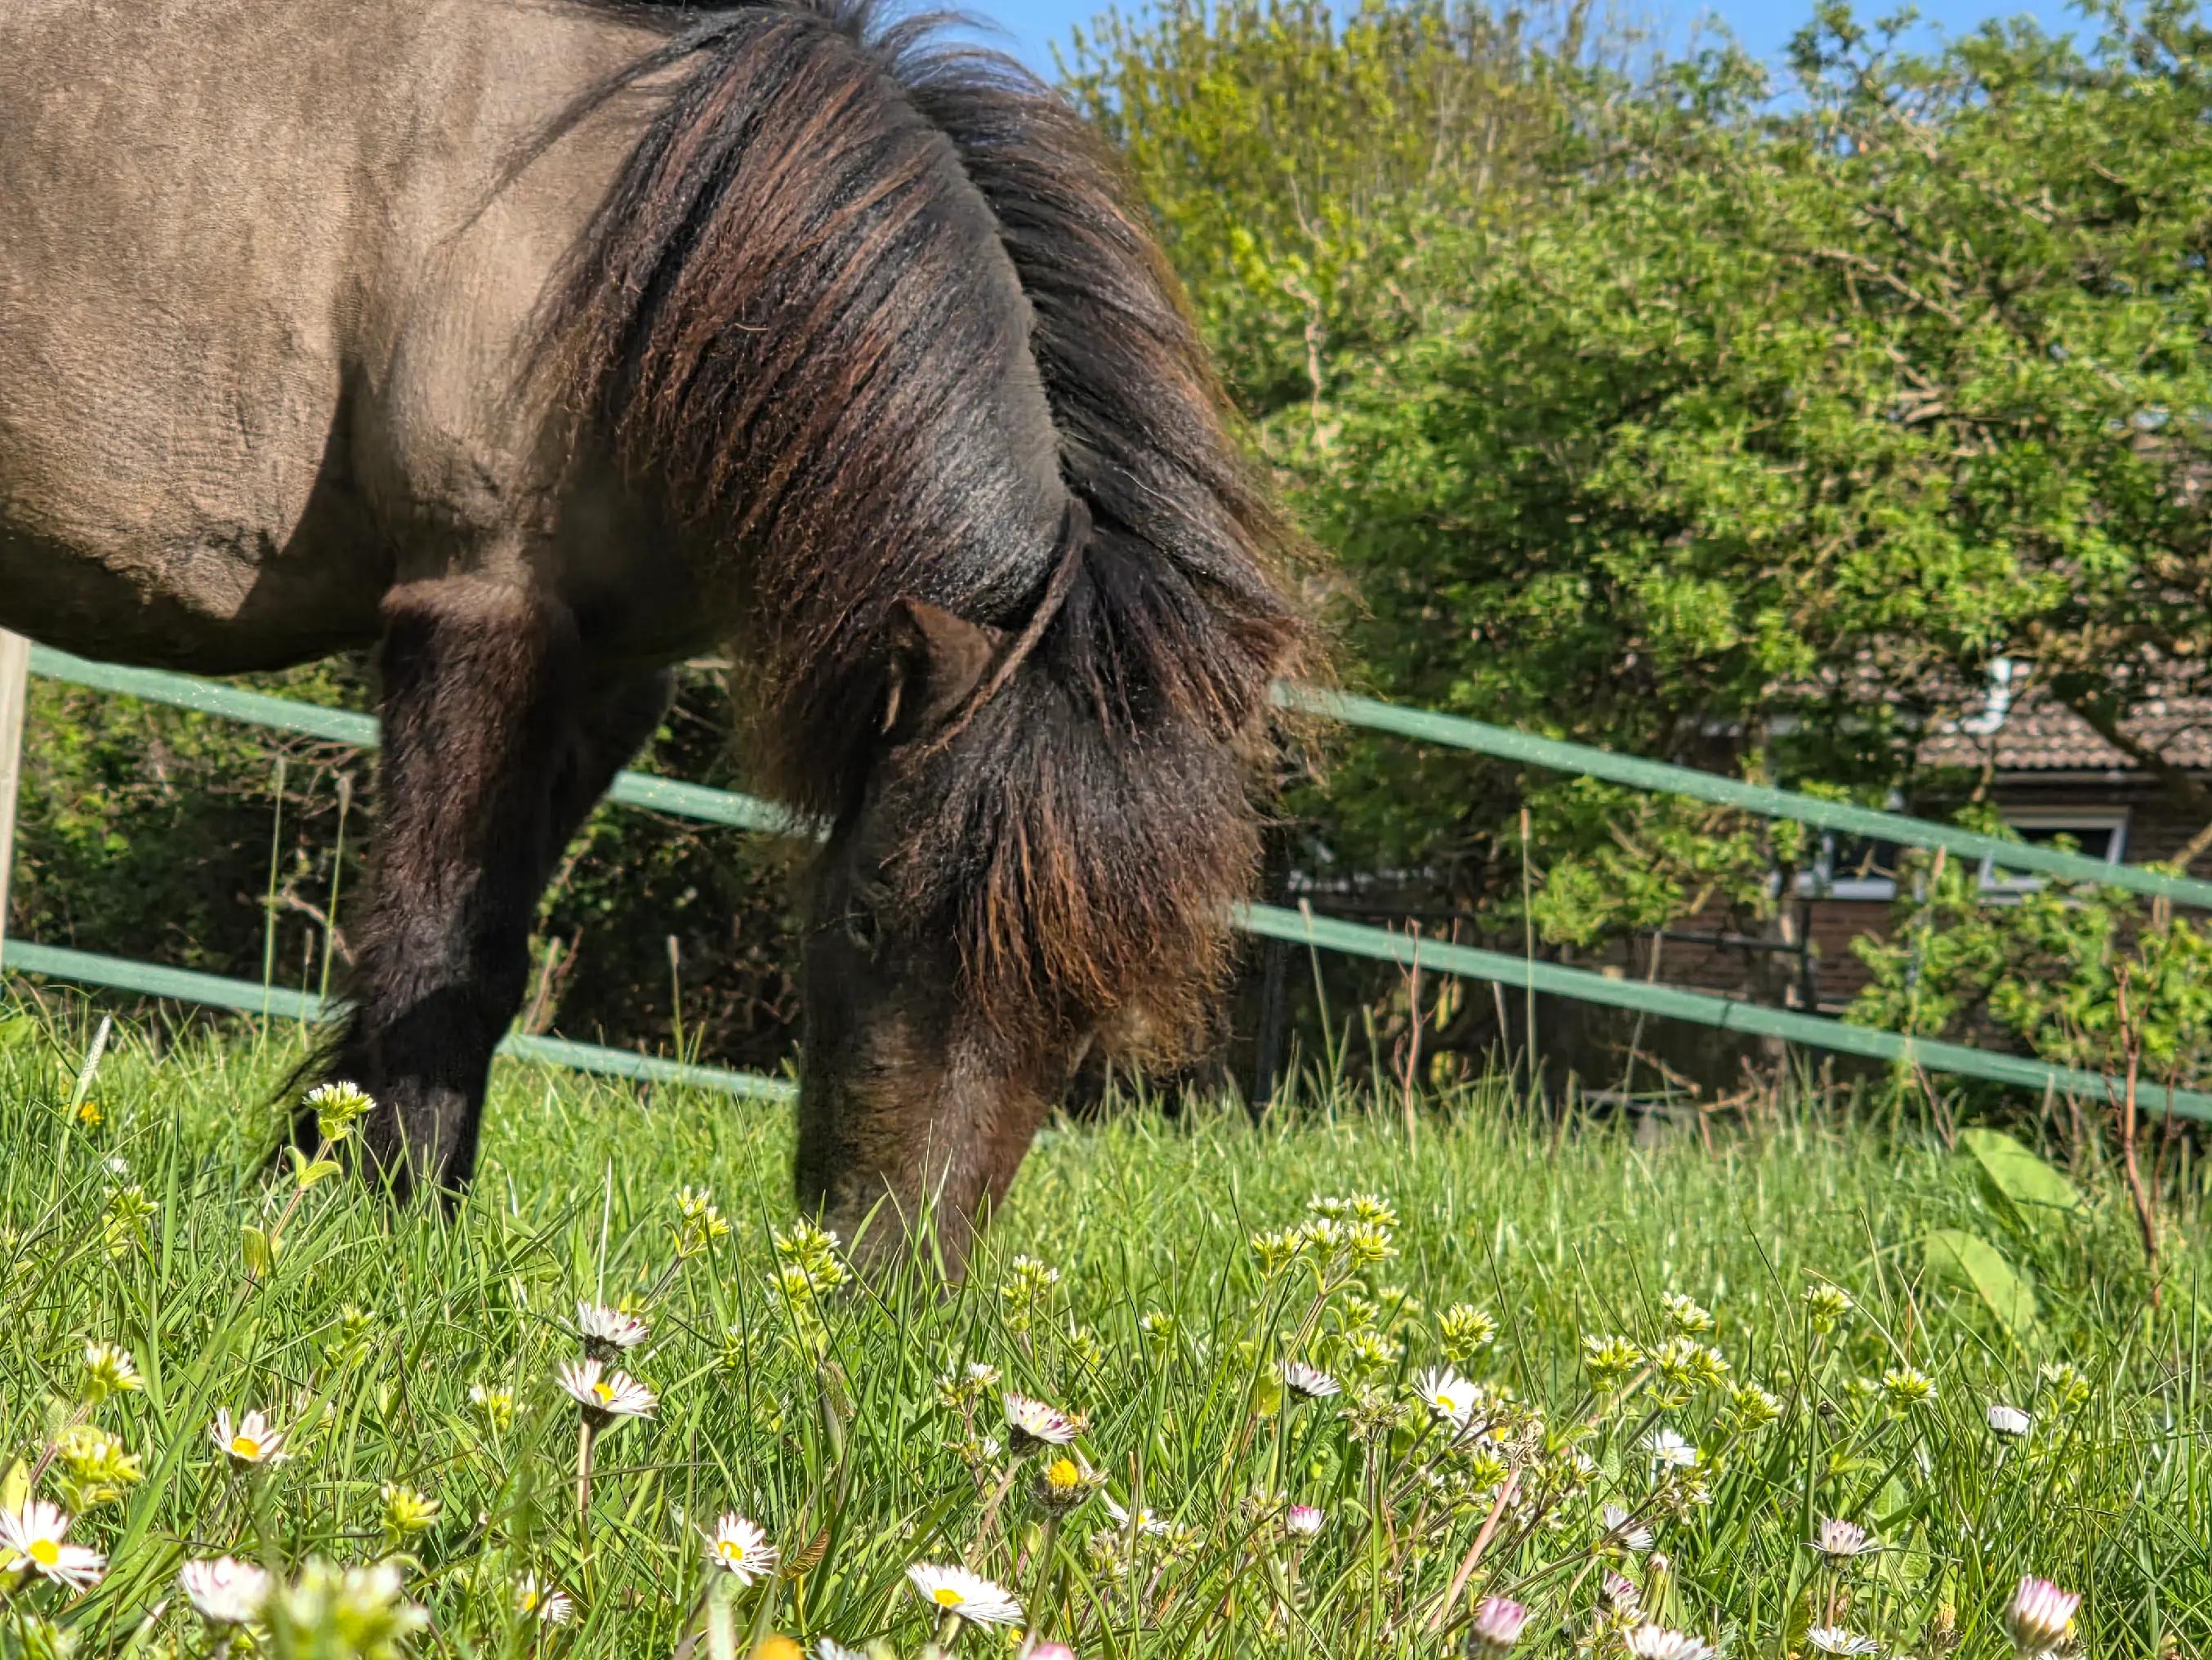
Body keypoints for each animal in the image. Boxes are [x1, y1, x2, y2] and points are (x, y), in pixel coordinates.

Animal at [0, 0, 1306, 1266]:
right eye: (869, 913)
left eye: (1087, 1012)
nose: (881, 1287)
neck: (639, 251)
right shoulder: (483, 604)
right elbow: (448, 949)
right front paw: (381, 1223)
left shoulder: (613, 673)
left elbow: (485, 951)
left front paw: (331, 1177)